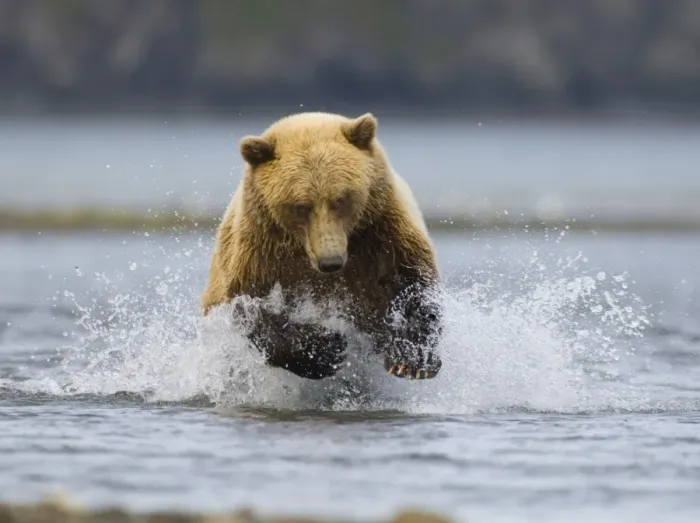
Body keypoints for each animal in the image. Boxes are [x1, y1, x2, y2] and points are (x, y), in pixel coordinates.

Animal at [201, 111, 443, 381]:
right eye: (301, 206)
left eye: (341, 200)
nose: (330, 262)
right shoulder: (260, 248)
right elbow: (250, 307)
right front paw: (325, 350)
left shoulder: (380, 231)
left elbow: (410, 283)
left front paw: (411, 360)